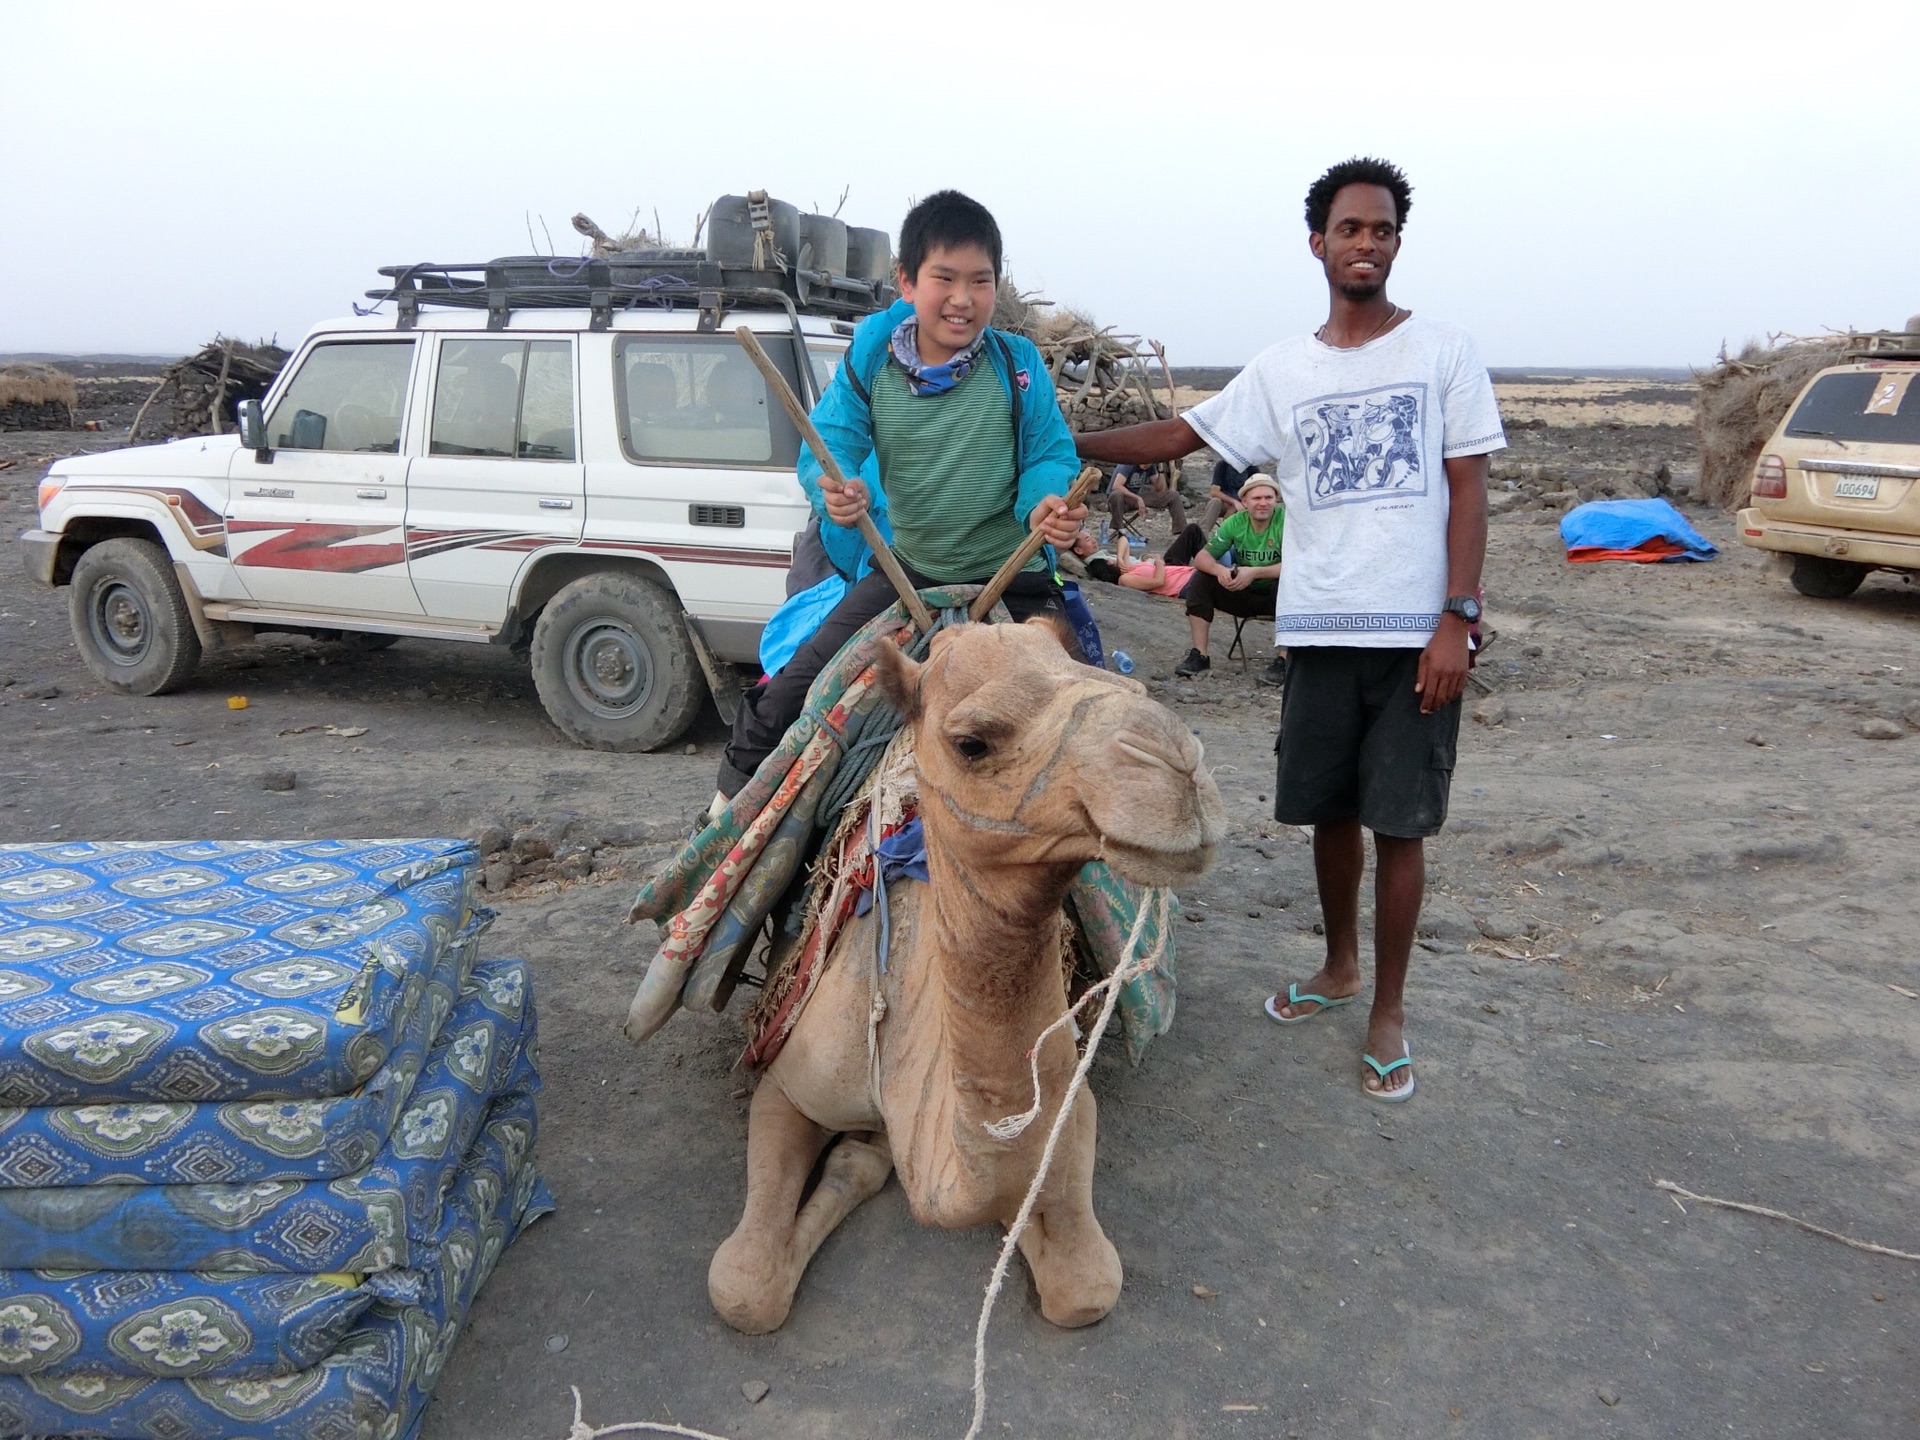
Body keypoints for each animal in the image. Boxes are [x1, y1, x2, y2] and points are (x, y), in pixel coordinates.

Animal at [710, 622, 1228, 1344]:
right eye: (972, 742)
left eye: (1126, 684)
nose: (1179, 769)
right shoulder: (789, 1086)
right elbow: (744, 1289)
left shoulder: (1067, 1104)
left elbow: (1084, 1286)